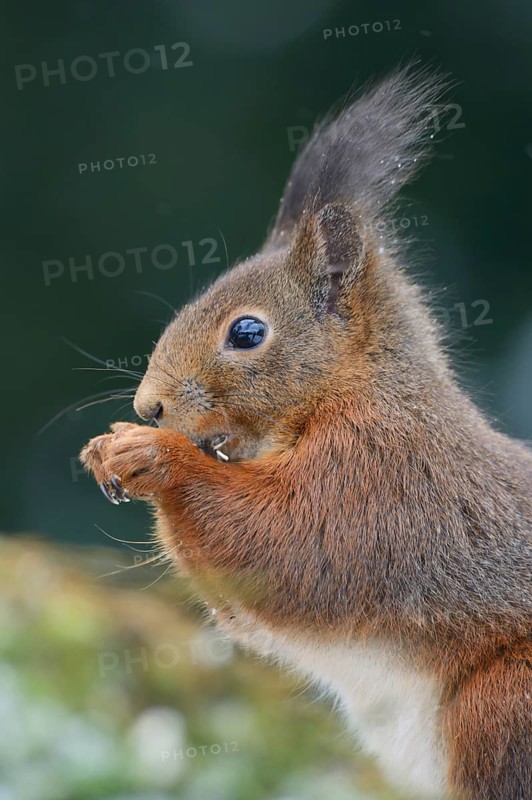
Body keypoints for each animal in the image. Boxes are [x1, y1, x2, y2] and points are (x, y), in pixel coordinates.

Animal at [80, 66, 532, 800]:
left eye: (247, 332)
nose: (150, 407)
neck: (350, 390)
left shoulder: (381, 477)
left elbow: (289, 545)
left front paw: (154, 455)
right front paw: (104, 450)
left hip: (504, 704)